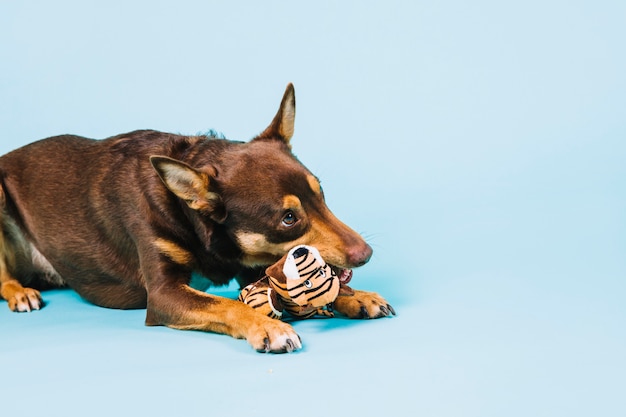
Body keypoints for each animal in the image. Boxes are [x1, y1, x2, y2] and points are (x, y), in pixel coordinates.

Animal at [0, 83, 390, 352]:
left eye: (321, 193)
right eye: (289, 219)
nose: (366, 254)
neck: (192, 218)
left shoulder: (252, 266)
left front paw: (355, 295)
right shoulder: (164, 295)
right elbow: (225, 304)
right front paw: (269, 327)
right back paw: (19, 292)